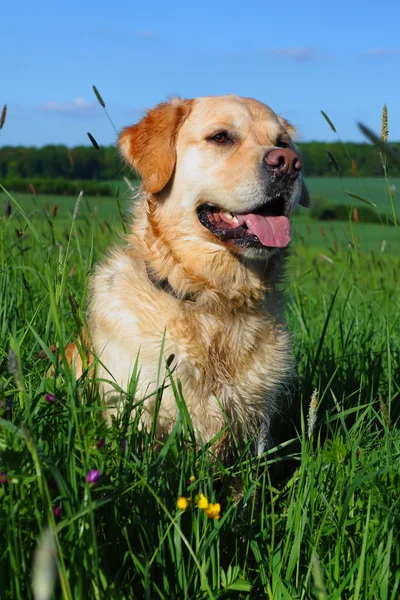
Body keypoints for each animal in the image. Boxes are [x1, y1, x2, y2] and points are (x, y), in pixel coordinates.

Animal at [67, 96, 308, 458]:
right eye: (221, 137)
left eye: (282, 143)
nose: (289, 163)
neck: (214, 299)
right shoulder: (133, 410)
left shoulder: (257, 426)